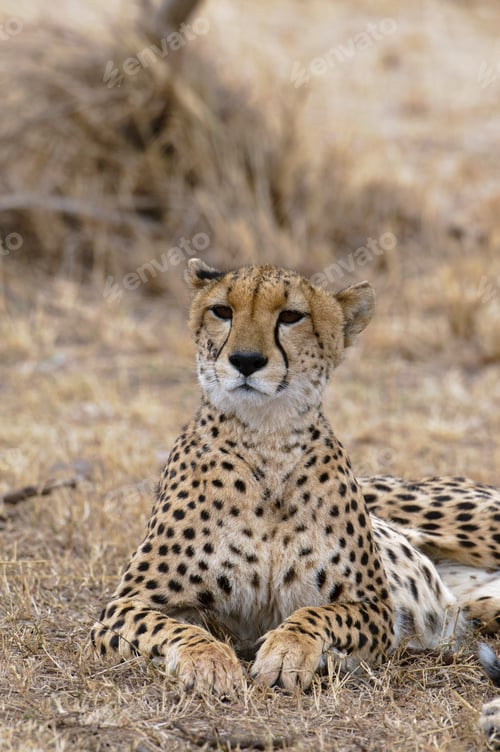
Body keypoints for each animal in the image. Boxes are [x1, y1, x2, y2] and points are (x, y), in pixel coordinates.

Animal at [91, 259, 500, 717]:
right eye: (222, 311)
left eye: (291, 317)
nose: (246, 360)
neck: (266, 437)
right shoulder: (124, 604)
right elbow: (176, 628)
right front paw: (210, 662)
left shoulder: (376, 608)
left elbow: (316, 616)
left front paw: (288, 651)